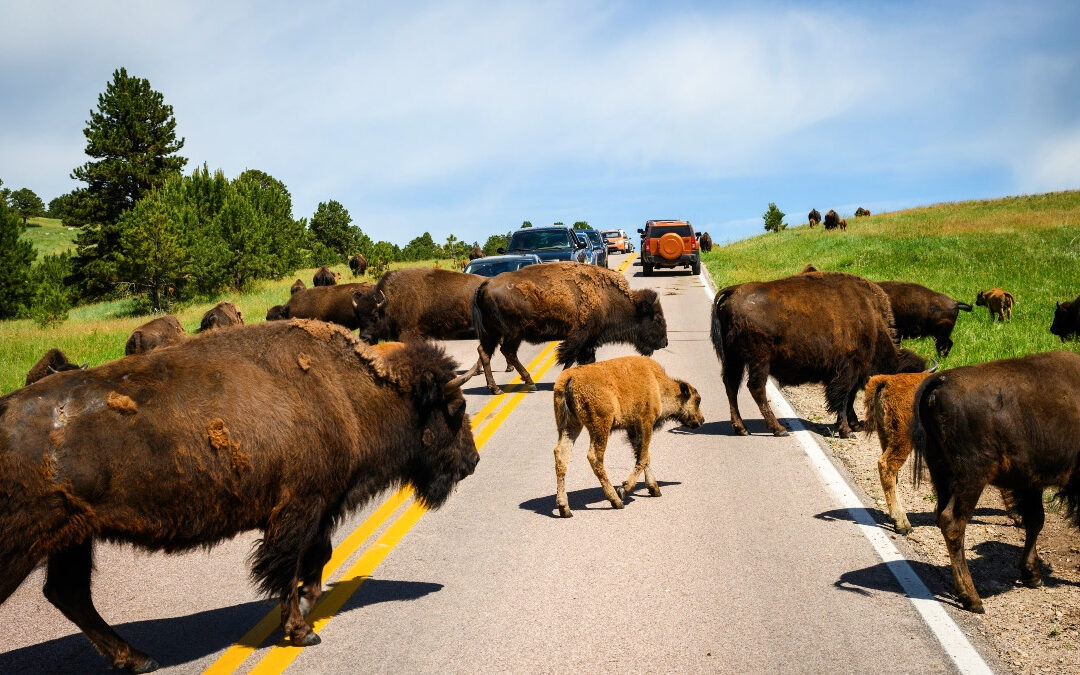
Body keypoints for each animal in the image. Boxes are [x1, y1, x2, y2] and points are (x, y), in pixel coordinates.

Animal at [0, 320, 479, 671]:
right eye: (455, 409)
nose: (472, 461)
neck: (344, 392)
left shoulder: (320, 506)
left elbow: (317, 557)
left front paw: (311, 599)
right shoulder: (299, 508)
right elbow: (287, 567)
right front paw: (303, 631)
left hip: (72, 537)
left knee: (69, 594)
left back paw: (138, 659)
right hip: (25, 545)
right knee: (66, 593)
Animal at [464, 262, 668, 394]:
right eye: (657, 318)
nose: (665, 342)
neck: (607, 298)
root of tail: (485, 284)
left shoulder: (587, 342)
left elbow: (582, 360)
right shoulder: (579, 337)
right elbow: (570, 358)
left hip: (492, 333)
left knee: (485, 352)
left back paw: (495, 388)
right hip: (512, 334)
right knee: (507, 352)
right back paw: (529, 383)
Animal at [711, 270, 926, 438]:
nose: (913, 426)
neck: (871, 319)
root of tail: (734, 291)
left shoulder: (853, 373)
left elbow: (849, 398)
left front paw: (855, 425)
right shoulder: (848, 371)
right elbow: (843, 398)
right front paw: (846, 430)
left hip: (734, 359)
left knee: (731, 385)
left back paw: (742, 428)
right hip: (759, 361)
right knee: (756, 388)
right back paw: (778, 429)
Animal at [913, 351, 1080, 613]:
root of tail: (941, 380)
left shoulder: (1030, 483)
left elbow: (1035, 520)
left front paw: (1032, 575)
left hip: (941, 473)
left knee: (941, 515)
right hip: (971, 478)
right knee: (953, 522)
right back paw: (973, 599)